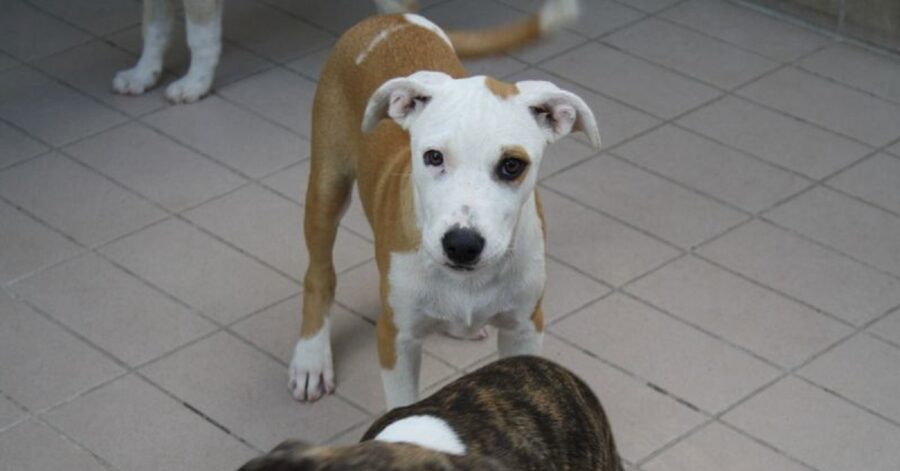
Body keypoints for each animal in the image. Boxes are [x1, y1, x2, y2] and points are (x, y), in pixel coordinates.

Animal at [290, 0, 596, 410]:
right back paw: (310, 358)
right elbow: (401, 407)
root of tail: (394, 19)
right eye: (433, 157)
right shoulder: (395, 337)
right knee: (319, 273)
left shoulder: (526, 325)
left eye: (512, 165)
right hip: (329, 179)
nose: (462, 245)